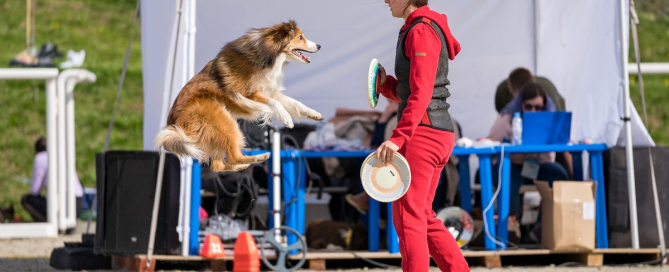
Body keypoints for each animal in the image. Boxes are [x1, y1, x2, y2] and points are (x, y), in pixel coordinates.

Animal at [157, 20, 324, 172]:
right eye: (300, 37)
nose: (319, 46)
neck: (267, 54)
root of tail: (174, 121)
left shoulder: (270, 91)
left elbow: (294, 103)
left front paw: (314, 114)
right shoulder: (249, 94)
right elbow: (276, 104)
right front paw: (286, 118)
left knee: (217, 166)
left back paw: (242, 165)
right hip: (225, 123)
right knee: (232, 157)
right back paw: (259, 157)